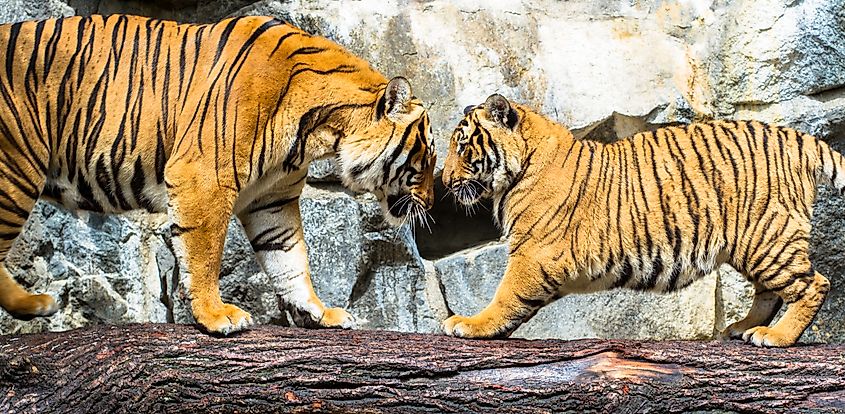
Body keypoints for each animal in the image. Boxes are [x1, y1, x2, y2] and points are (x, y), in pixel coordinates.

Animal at [0, 14, 436, 335]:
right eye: (426, 159)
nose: (432, 204)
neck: (320, 132)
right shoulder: (204, 177)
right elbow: (205, 254)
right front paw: (216, 315)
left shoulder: (272, 199)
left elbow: (290, 259)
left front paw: (318, 312)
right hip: (15, 174)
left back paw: (36, 305)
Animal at [441, 93, 837, 347]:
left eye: (462, 147)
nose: (444, 180)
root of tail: (798, 138)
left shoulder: (533, 253)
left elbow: (506, 295)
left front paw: (471, 325)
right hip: (756, 245)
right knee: (771, 291)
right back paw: (740, 329)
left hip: (767, 238)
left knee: (815, 284)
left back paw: (776, 337)